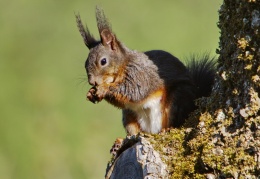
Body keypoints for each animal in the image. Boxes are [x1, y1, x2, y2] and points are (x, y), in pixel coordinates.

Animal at [75, 7, 215, 136]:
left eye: (103, 61)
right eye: (85, 63)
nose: (92, 81)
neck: (124, 65)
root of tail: (152, 130)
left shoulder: (140, 75)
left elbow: (133, 91)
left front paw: (103, 89)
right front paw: (91, 92)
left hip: (177, 99)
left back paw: (166, 130)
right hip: (129, 115)